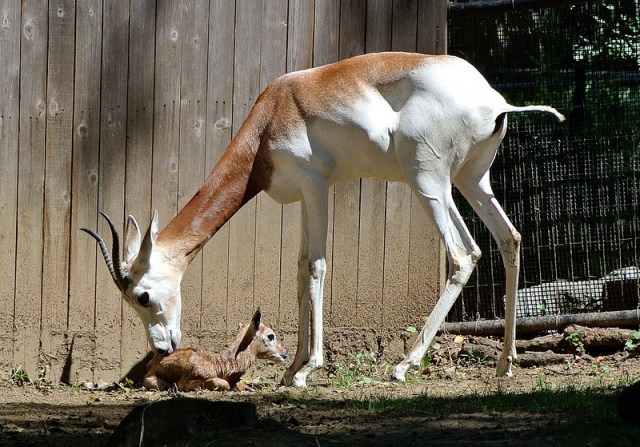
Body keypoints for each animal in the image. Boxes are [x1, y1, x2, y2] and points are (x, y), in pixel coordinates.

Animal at [82, 52, 564, 387]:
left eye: (142, 295)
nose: (163, 346)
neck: (274, 115)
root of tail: (494, 100)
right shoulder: (301, 196)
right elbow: (298, 270)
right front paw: (288, 368)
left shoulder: (317, 184)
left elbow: (315, 267)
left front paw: (305, 369)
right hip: (470, 179)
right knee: (509, 238)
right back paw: (505, 363)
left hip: (427, 180)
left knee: (464, 254)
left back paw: (403, 365)